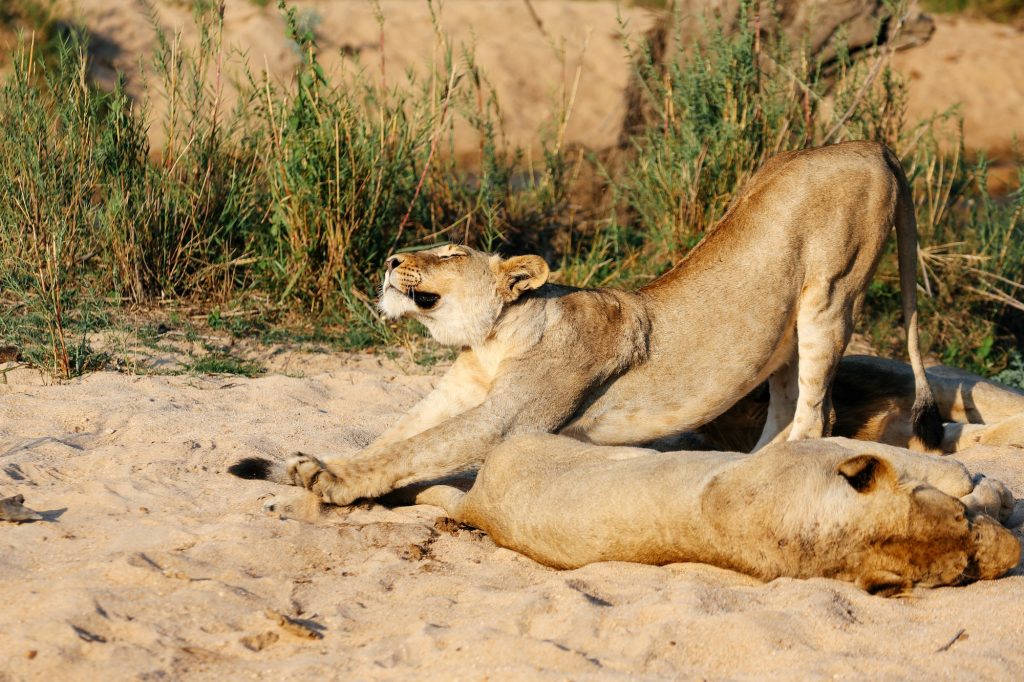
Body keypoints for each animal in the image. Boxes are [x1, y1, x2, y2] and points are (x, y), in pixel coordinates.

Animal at [230, 140, 943, 505]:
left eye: (451, 252)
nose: (390, 258)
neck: (492, 340)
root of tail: (869, 141)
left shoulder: (510, 417)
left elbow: (415, 449)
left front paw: (330, 480)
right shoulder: (458, 393)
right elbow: (394, 436)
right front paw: (306, 462)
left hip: (831, 293)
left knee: (817, 416)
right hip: (782, 329)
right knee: (789, 405)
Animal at [410, 435, 1020, 594]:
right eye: (963, 574)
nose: (1015, 556)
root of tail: (480, 505)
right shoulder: (821, 447)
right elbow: (934, 465)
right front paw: (990, 488)